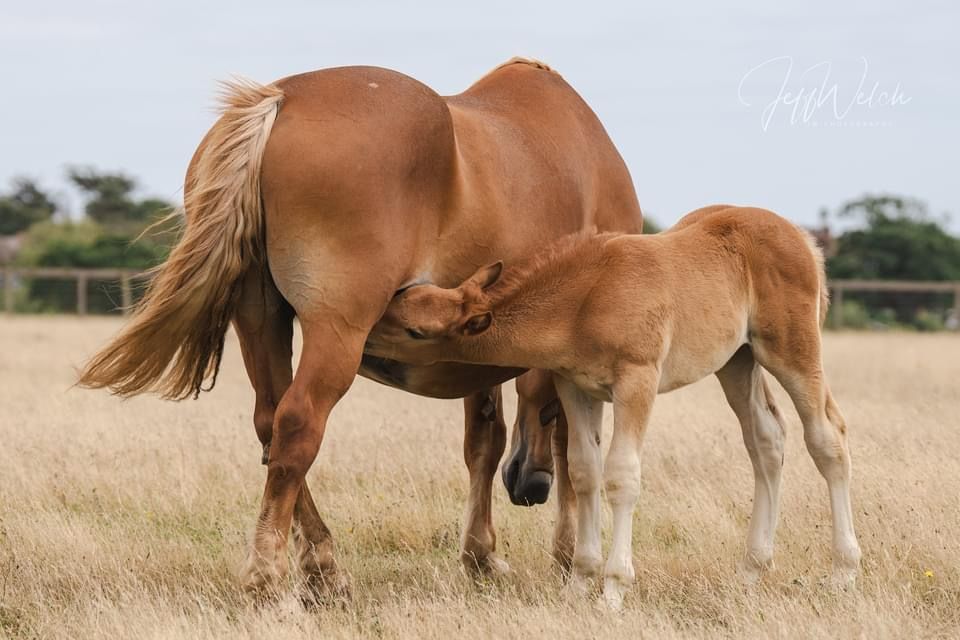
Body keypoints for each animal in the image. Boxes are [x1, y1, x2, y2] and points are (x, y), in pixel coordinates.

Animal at [77, 58, 643, 597]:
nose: (530, 487)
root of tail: (282, 101)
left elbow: (483, 440)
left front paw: (482, 556)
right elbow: (575, 447)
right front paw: (568, 554)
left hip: (260, 320)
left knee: (269, 422)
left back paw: (321, 564)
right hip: (337, 333)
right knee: (297, 425)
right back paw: (272, 574)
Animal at [366, 204, 863, 609]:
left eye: (414, 330)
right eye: (400, 298)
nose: (364, 339)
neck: (585, 297)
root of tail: (801, 237)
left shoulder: (636, 381)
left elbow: (621, 474)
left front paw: (613, 588)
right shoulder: (575, 387)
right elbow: (584, 471)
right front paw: (580, 582)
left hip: (792, 352)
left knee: (827, 437)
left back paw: (843, 570)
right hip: (737, 362)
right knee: (766, 440)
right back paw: (751, 571)